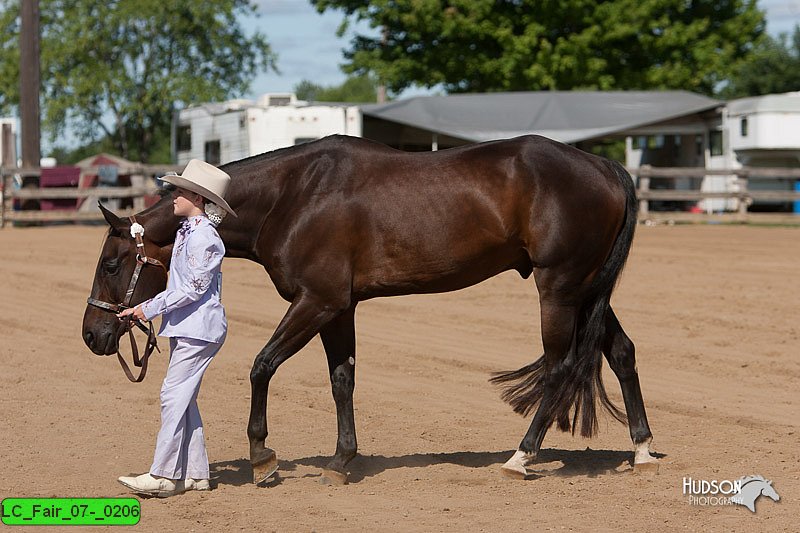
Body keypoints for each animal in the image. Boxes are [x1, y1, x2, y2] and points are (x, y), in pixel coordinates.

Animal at [83, 132, 656, 482]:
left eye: (111, 263)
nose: (93, 334)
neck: (294, 196)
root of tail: (605, 166)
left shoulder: (318, 301)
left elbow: (262, 366)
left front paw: (262, 457)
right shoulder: (339, 309)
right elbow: (343, 379)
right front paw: (342, 459)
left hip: (559, 288)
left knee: (559, 366)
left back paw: (522, 455)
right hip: (587, 291)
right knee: (622, 352)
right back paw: (643, 449)